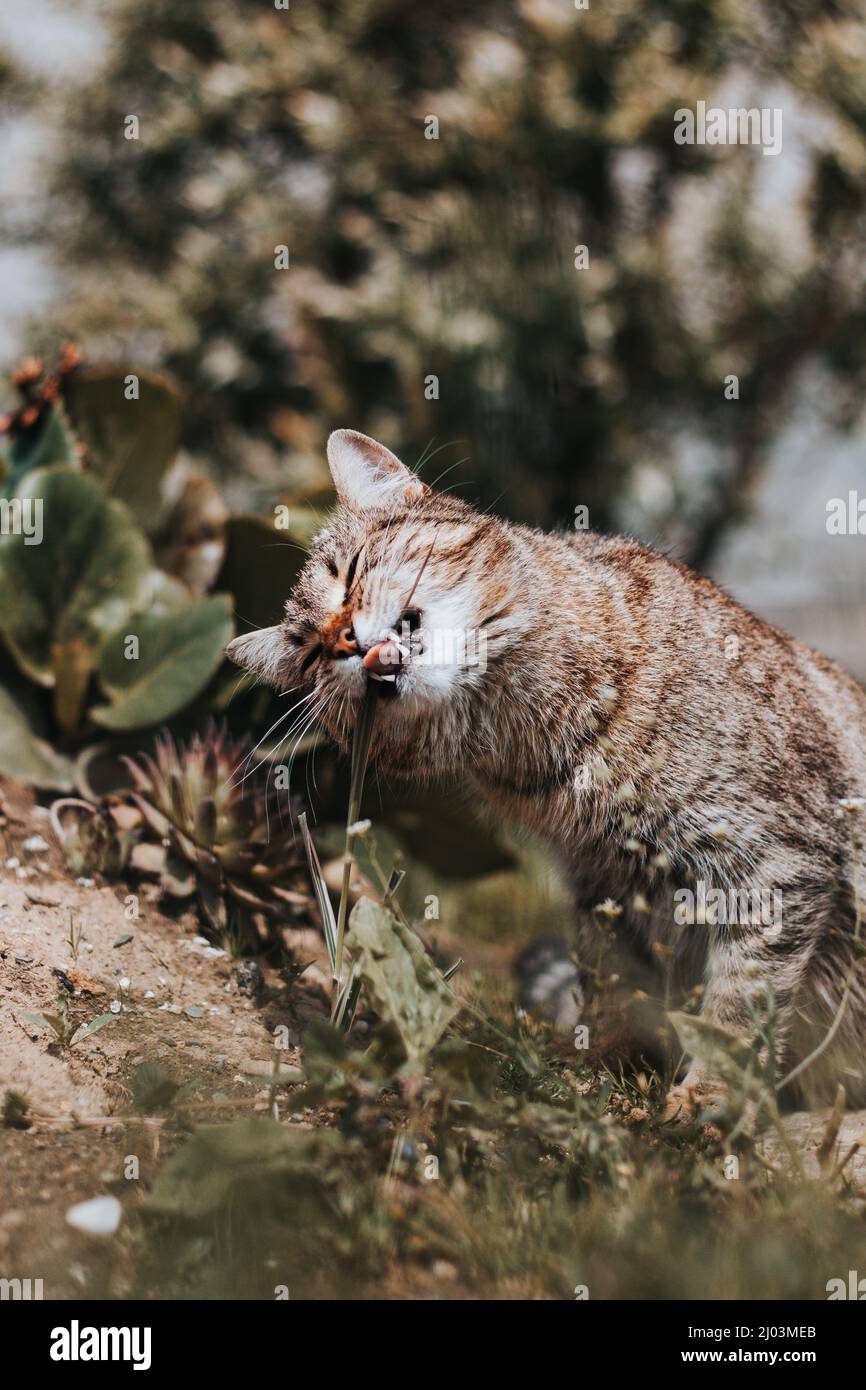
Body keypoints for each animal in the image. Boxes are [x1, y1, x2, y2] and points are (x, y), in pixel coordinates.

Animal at [226, 425, 866, 1117]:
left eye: (348, 576)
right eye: (309, 653)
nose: (341, 642)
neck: (543, 725)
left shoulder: (775, 858)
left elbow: (742, 997)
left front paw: (711, 1094)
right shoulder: (604, 883)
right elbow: (615, 982)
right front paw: (601, 1071)